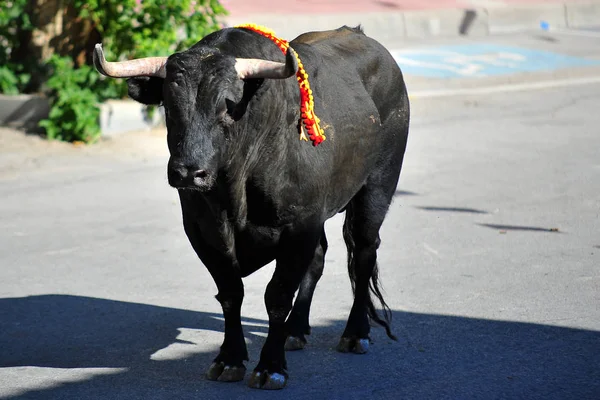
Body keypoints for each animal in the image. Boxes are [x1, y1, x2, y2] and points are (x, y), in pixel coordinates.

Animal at [92, 25, 408, 388]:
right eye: (169, 107)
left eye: (227, 108)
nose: (188, 172)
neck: (235, 191)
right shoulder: (204, 232)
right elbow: (231, 294)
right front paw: (229, 359)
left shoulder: (298, 228)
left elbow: (277, 296)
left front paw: (270, 366)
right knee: (319, 258)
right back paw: (295, 330)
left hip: (377, 189)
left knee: (363, 254)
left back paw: (355, 334)